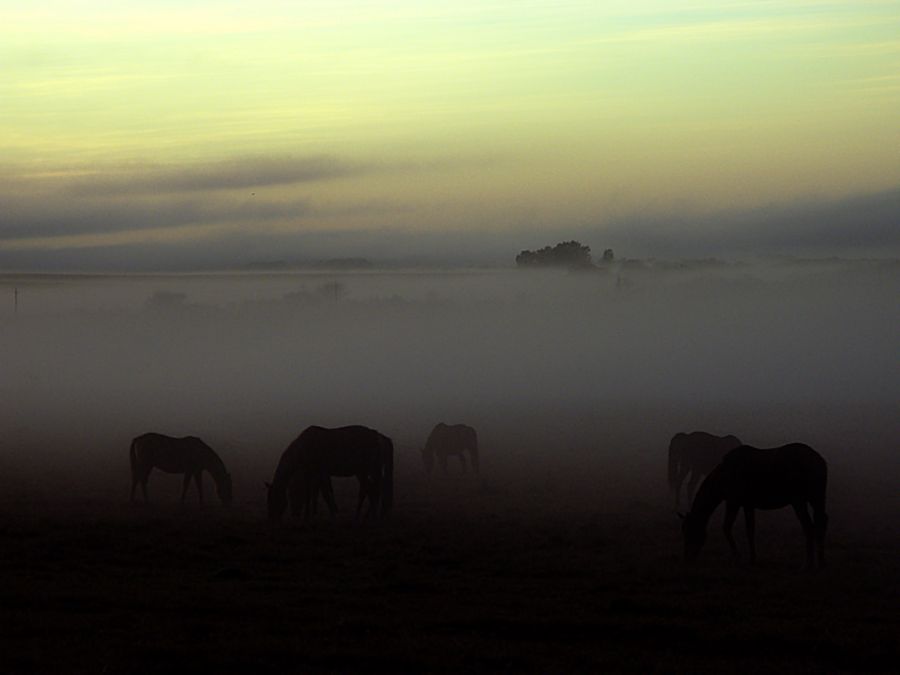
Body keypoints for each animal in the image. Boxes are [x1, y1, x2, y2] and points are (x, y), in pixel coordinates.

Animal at [680, 444, 828, 572]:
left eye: (690, 532)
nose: (687, 559)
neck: (725, 474)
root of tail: (818, 460)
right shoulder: (748, 505)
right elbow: (750, 530)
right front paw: (752, 559)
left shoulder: (733, 502)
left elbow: (726, 527)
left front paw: (737, 558)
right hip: (817, 500)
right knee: (820, 525)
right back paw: (820, 564)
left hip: (799, 501)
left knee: (809, 527)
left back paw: (807, 565)